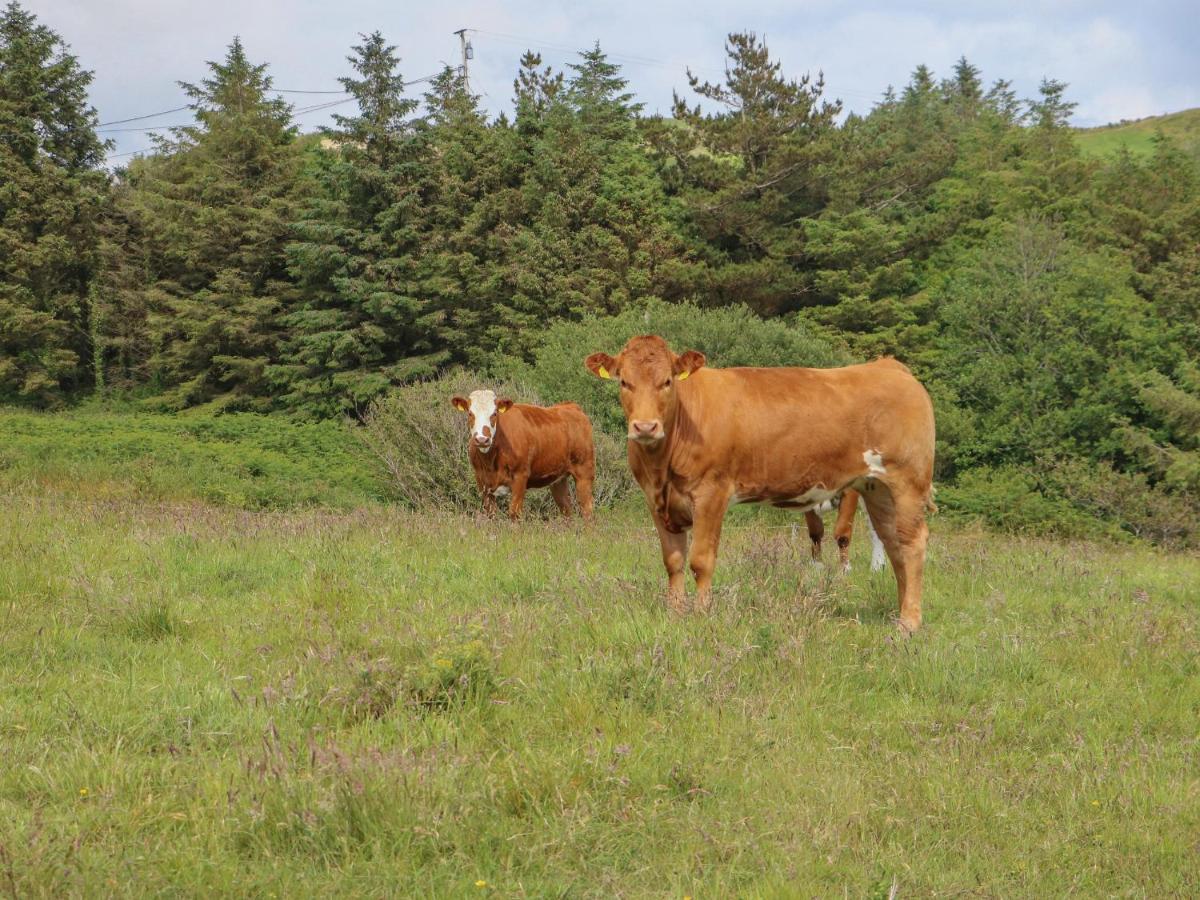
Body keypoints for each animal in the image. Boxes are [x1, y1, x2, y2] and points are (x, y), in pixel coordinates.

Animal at [451, 391, 597, 525]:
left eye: (494, 414)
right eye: (470, 413)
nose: (482, 439)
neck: (491, 463)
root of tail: (571, 406)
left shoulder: (520, 477)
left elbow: (514, 514)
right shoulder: (482, 481)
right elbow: (491, 515)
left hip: (584, 471)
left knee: (587, 510)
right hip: (558, 479)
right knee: (566, 509)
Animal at [585, 338, 931, 633]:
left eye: (667, 381)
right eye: (624, 382)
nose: (645, 427)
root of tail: (888, 366)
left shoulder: (712, 493)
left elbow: (700, 560)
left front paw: (701, 614)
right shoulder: (656, 500)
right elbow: (673, 561)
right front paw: (675, 614)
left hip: (908, 482)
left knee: (912, 543)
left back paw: (910, 624)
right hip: (877, 488)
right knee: (893, 542)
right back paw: (900, 614)